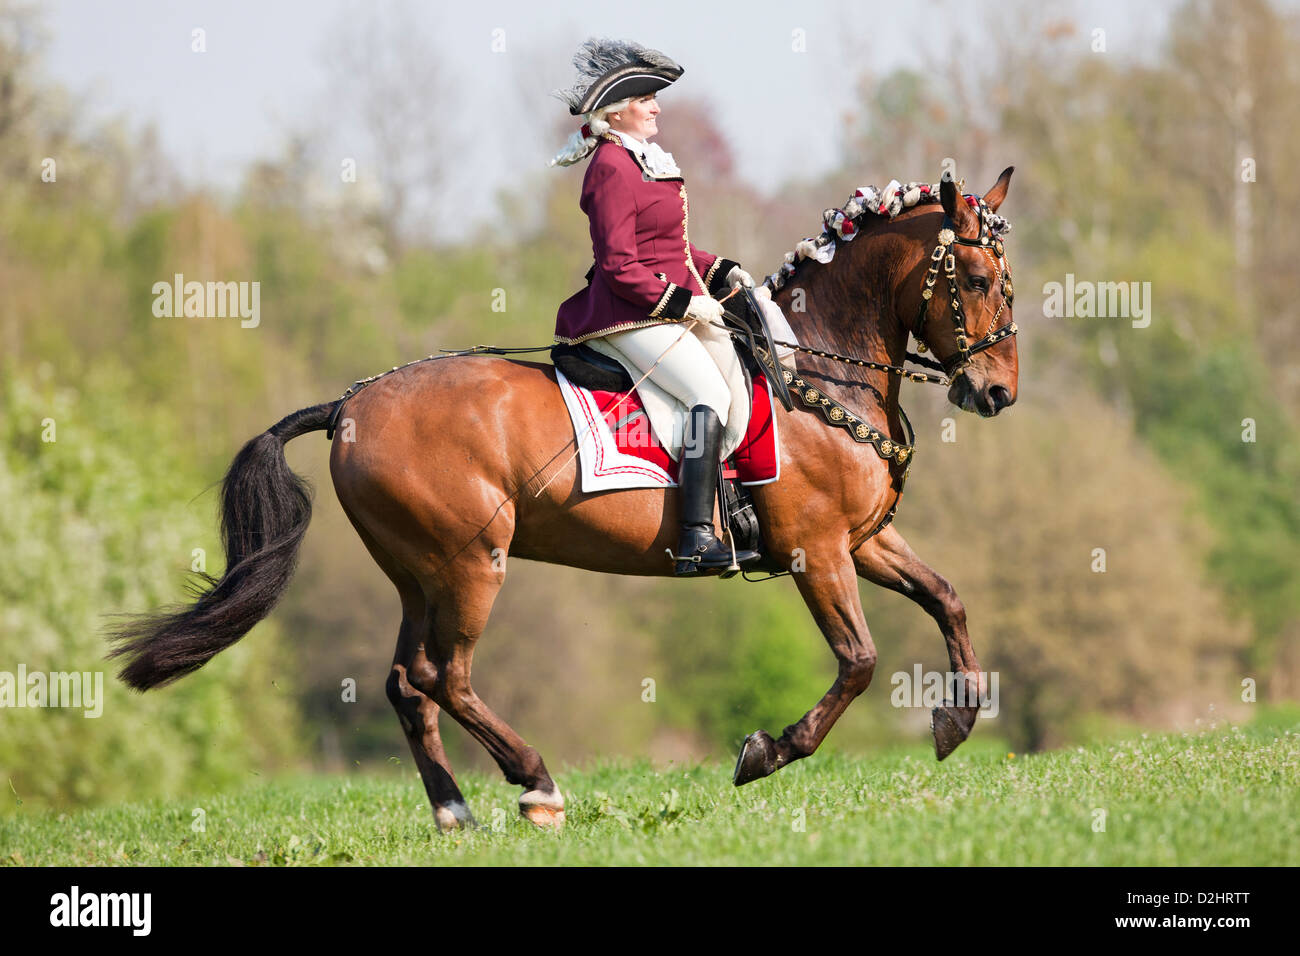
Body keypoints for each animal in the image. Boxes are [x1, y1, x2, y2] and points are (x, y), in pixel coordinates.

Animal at [109, 171, 1013, 832]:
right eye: (974, 279)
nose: (996, 393)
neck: (818, 370)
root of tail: (349, 404)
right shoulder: (815, 549)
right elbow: (859, 660)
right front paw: (767, 750)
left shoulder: (861, 541)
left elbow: (948, 598)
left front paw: (959, 719)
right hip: (472, 562)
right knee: (444, 675)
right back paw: (536, 784)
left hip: (418, 574)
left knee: (407, 682)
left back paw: (454, 811)